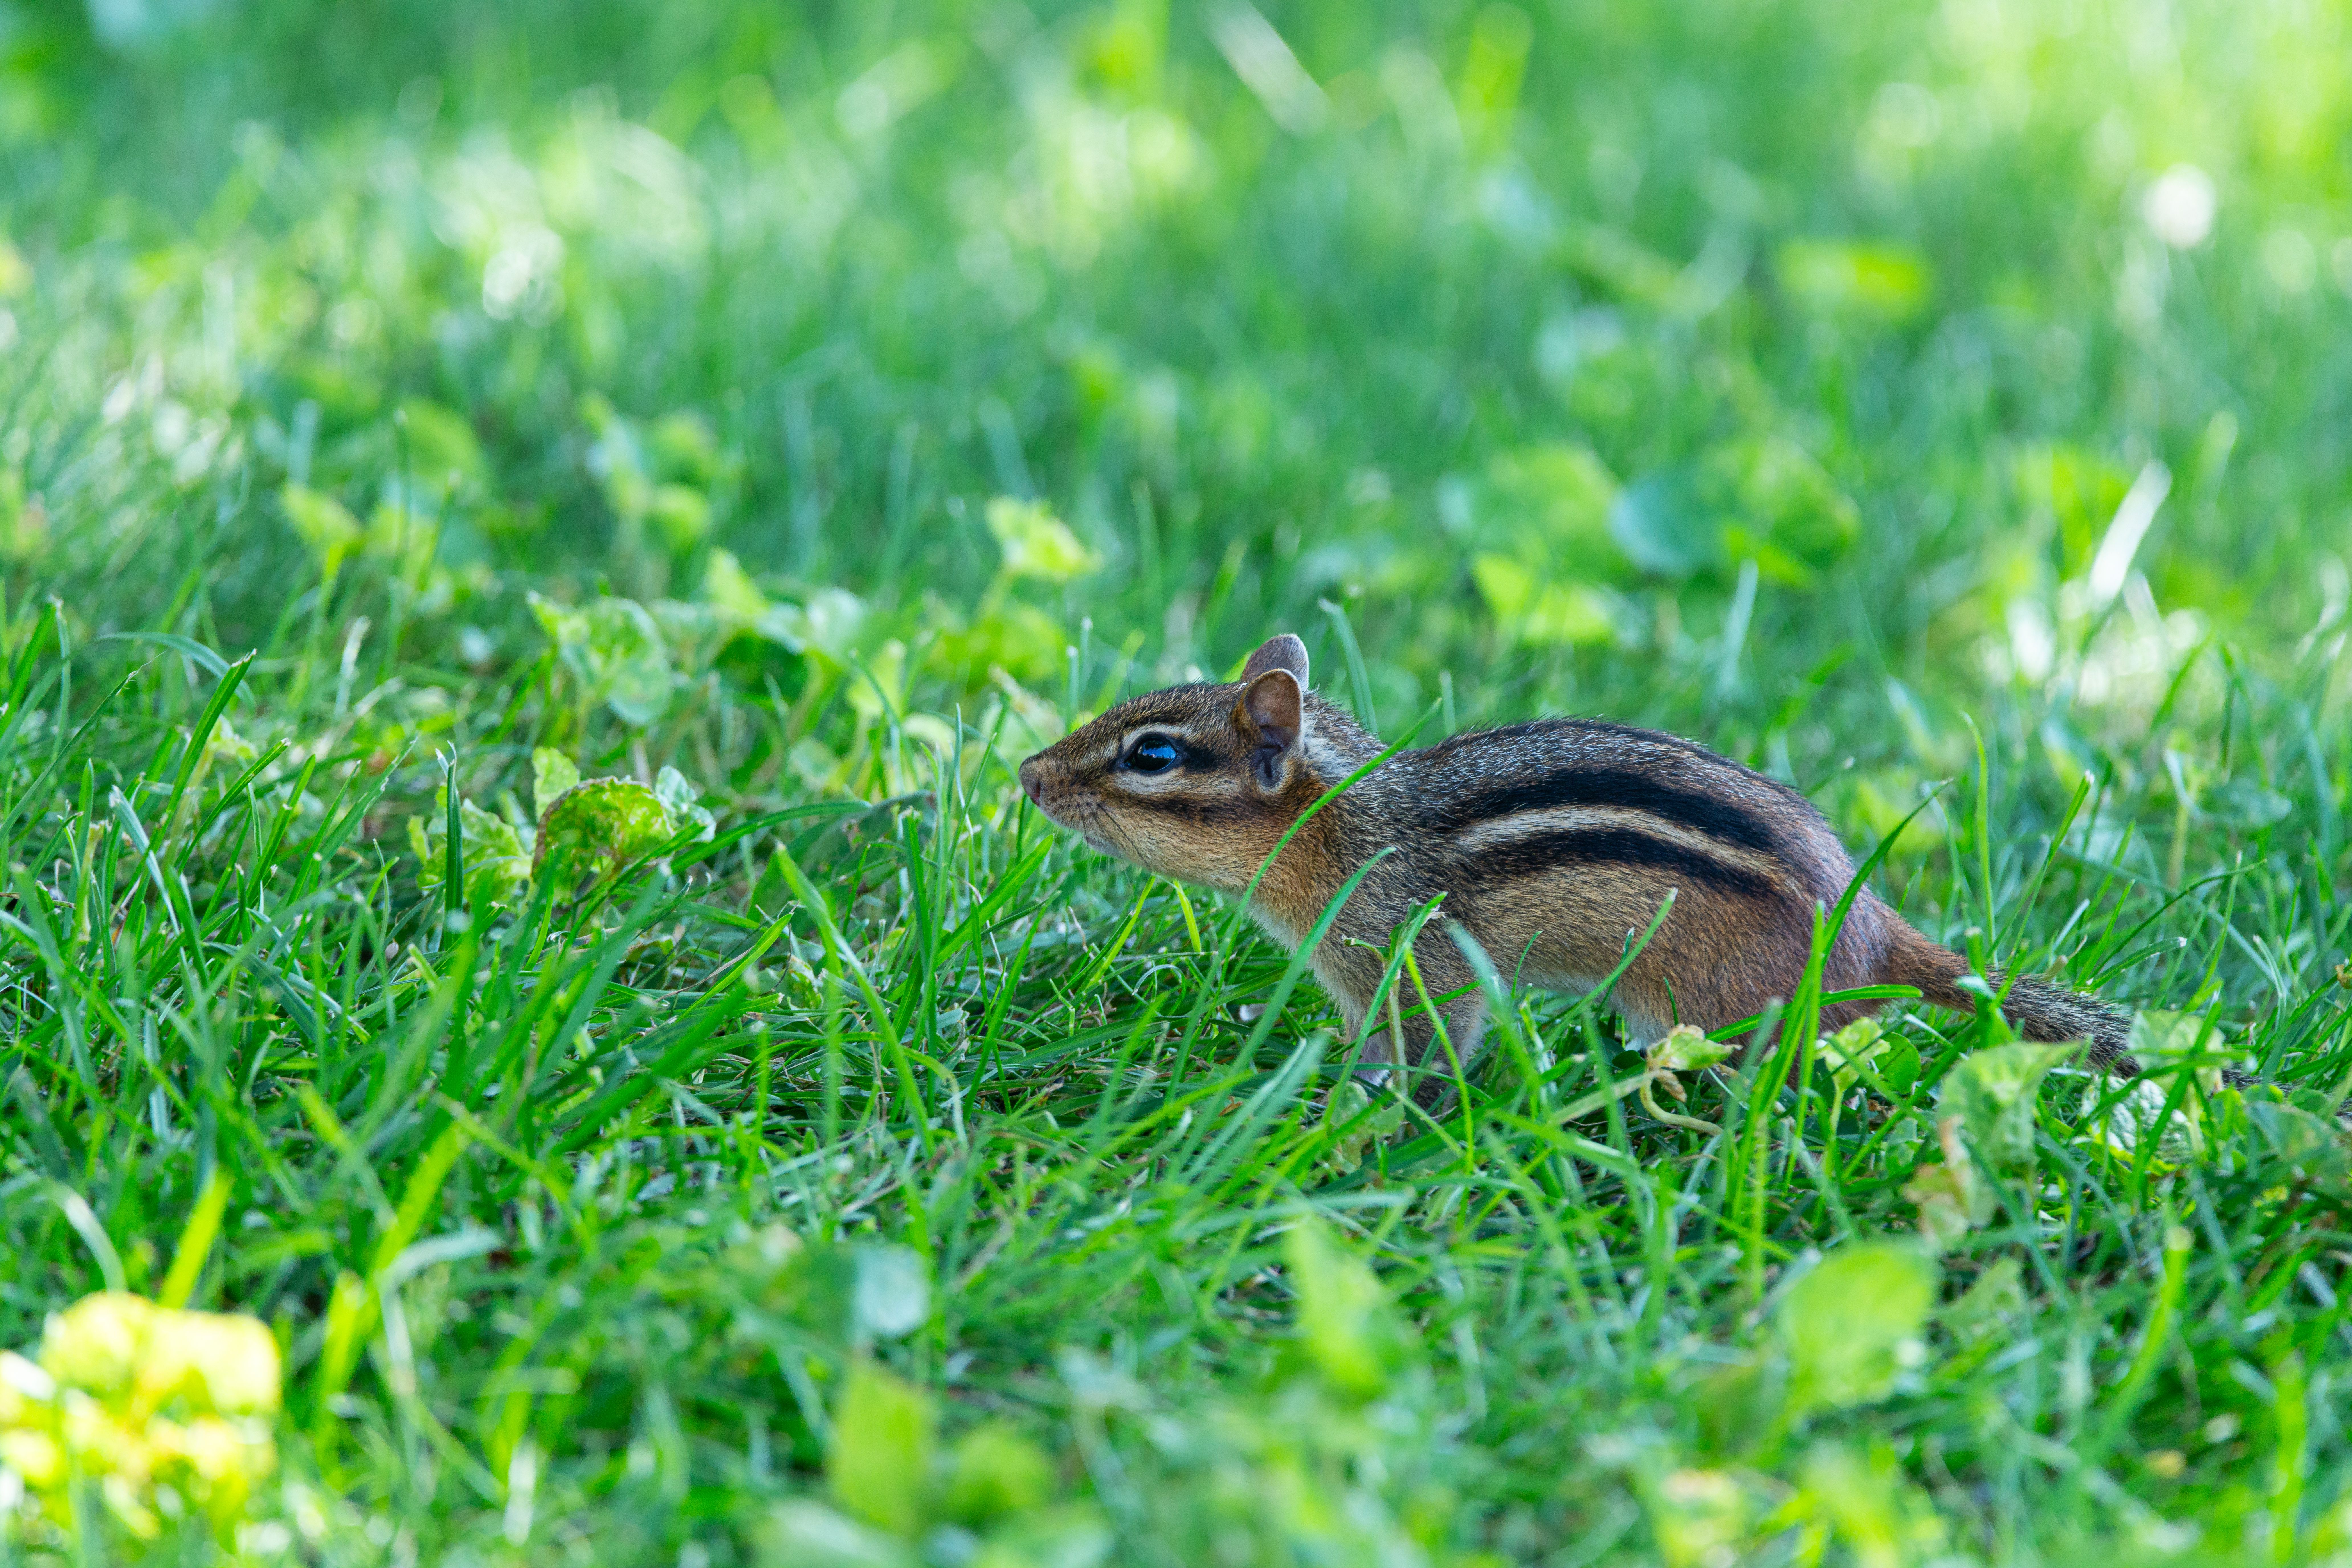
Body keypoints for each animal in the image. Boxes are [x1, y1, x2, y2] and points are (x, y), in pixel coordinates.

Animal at [1017, 632, 2134, 1097]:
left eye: (1152, 756)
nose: (1026, 774)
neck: (1345, 827)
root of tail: (1872, 934)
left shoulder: (1412, 956)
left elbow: (1428, 1042)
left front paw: (1354, 1104)